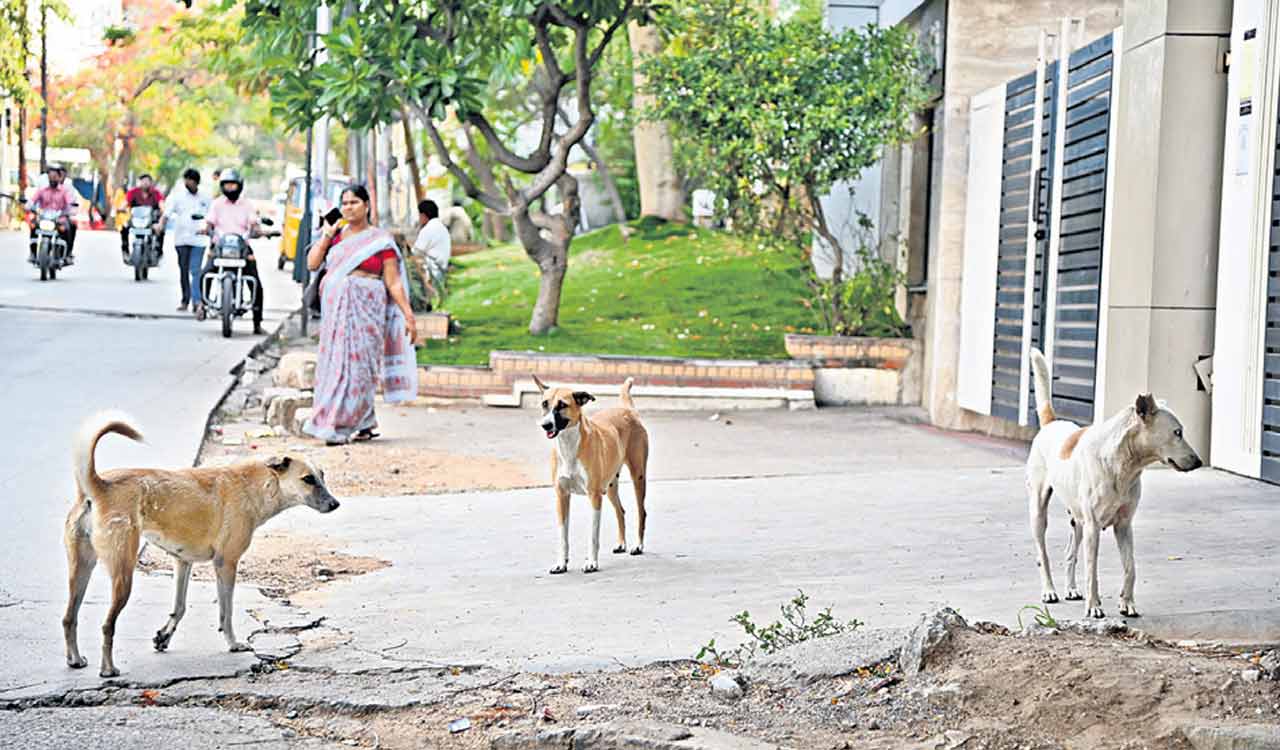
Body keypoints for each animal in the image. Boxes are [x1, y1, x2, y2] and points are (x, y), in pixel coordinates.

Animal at [63, 412, 340, 675]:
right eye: (308, 479)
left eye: (322, 476)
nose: (335, 504)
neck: (256, 484)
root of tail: (99, 486)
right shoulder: (226, 564)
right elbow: (226, 612)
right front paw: (233, 644)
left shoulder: (182, 562)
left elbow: (180, 607)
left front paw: (164, 637)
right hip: (123, 574)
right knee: (107, 625)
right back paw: (108, 669)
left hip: (81, 569)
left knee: (69, 618)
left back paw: (75, 659)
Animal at [532, 373, 650, 573]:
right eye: (544, 404)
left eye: (562, 405)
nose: (545, 425)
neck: (569, 446)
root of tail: (627, 409)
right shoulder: (562, 496)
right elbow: (563, 536)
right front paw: (561, 563)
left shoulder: (594, 497)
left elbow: (593, 536)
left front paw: (591, 563)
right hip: (610, 485)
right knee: (621, 511)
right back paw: (621, 544)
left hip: (638, 476)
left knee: (641, 512)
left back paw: (638, 546)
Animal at [1024, 348, 1203, 616]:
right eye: (1177, 433)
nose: (1199, 462)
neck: (1123, 466)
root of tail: (1051, 423)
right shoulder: (1093, 527)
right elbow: (1092, 570)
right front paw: (1094, 607)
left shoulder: (1124, 525)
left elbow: (1131, 567)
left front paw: (1127, 603)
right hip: (1040, 511)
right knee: (1042, 554)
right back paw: (1049, 591)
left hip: (1077, 520)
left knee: (1069, 552)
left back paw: (1071, 589)